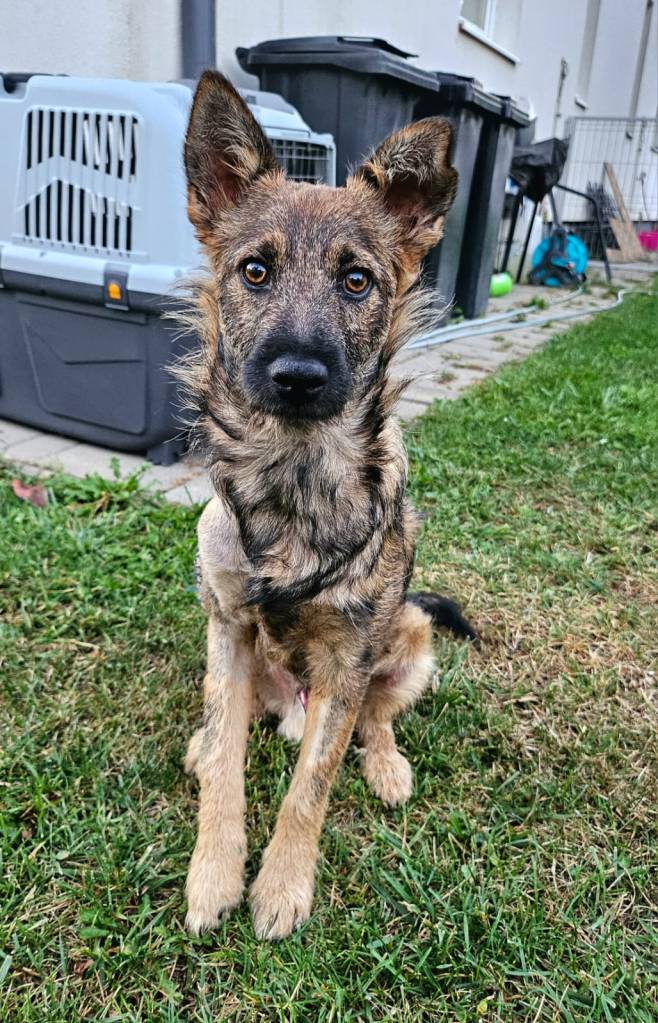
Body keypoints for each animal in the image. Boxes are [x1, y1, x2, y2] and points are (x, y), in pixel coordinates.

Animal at [179, 71, 476, 941]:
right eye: (254, 271)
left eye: (356, 281)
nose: (298, 375)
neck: (293, 478)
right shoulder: (227, 626)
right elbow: (228, 766)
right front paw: (214, 873)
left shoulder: (349, 658)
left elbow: (311, 782)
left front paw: (282, 886)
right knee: (232, 727)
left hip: (409, 636)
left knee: (371, 720)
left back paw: (386, 765)